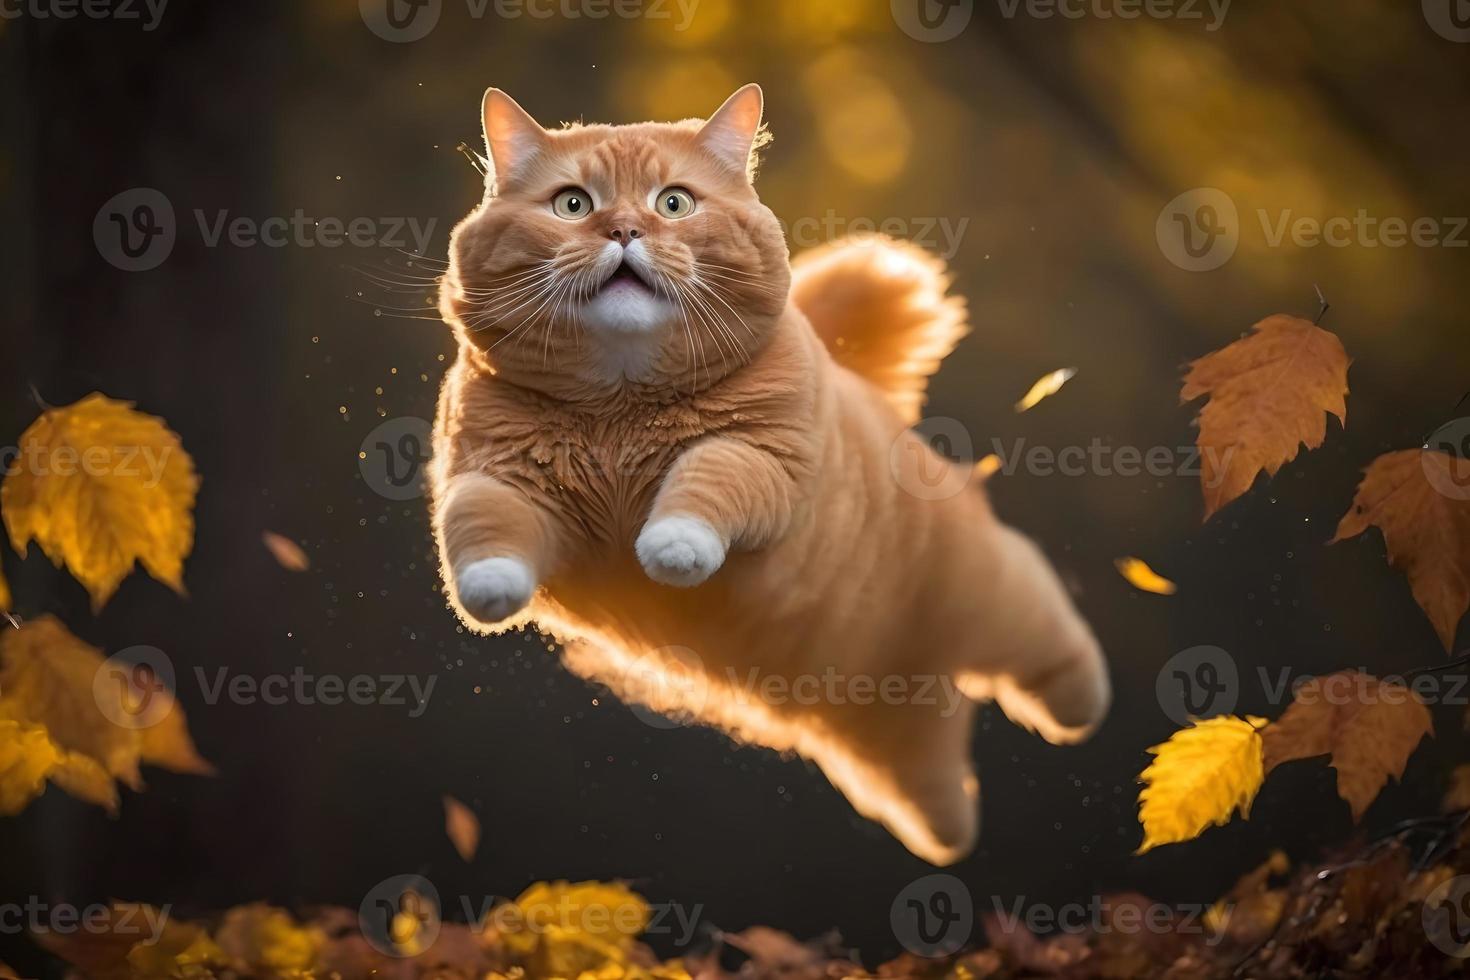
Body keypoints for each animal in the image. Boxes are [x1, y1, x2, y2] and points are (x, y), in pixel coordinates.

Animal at [429, 86, 1105, 863]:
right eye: (573, 205)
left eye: (673, 203)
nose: (624, 228)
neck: (616, 410)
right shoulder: (492, 474)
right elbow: (482, 532)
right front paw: (489, 595)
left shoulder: (760, 458)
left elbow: (702, 485)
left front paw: (670, 549)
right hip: (882, 743)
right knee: (934, 792)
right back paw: (950, 837)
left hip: (987, 599)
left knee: (1048, 642)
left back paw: (1082, 708)